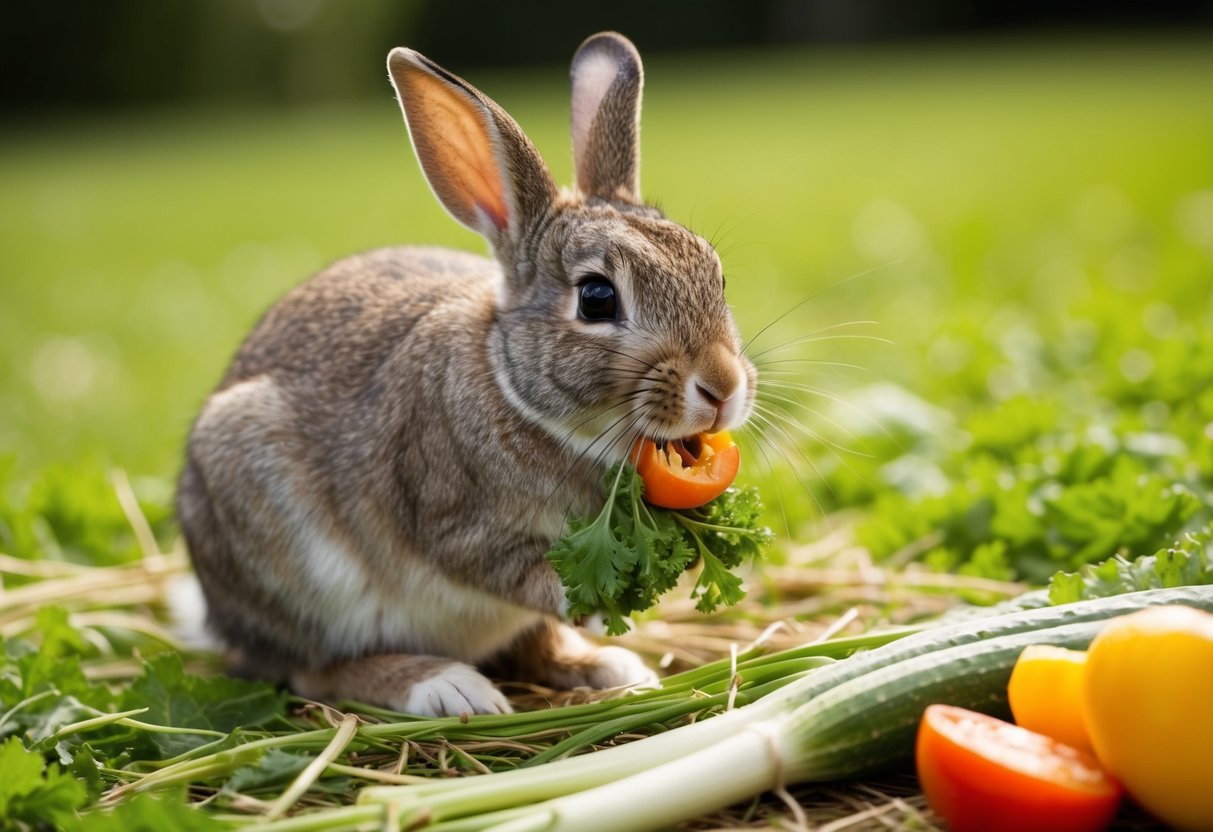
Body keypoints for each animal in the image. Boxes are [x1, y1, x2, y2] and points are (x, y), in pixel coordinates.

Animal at [176, 31, 756, 717]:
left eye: (717, 274)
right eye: (596, 299)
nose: (722, 388)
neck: (520, 395)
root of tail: (218, 617)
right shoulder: (454, 519)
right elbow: (527, 575)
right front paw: (603, 604)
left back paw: (610, 669)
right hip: (287, 554)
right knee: (315, 671)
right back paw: (450, 690)